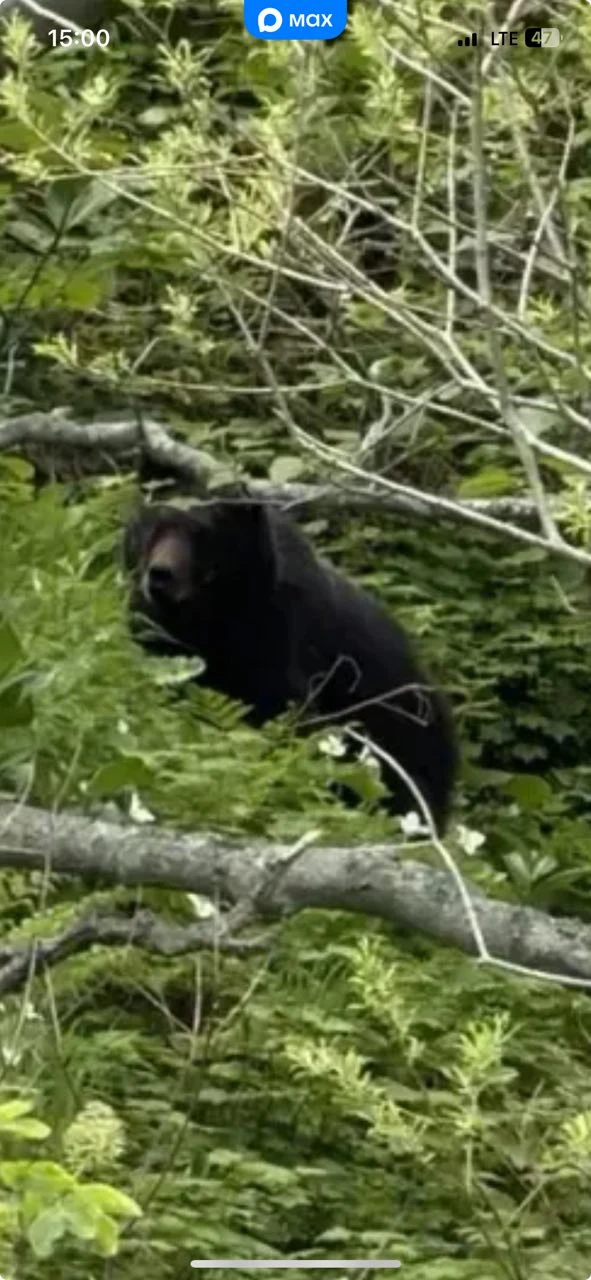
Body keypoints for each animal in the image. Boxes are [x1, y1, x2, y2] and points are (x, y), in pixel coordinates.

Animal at [123, 498, 458, 833]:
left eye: (199, 530)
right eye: (154, 529)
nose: (160, 574)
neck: (215, 614)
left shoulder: (280, 636)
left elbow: (286, 714)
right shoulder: (162, 636)